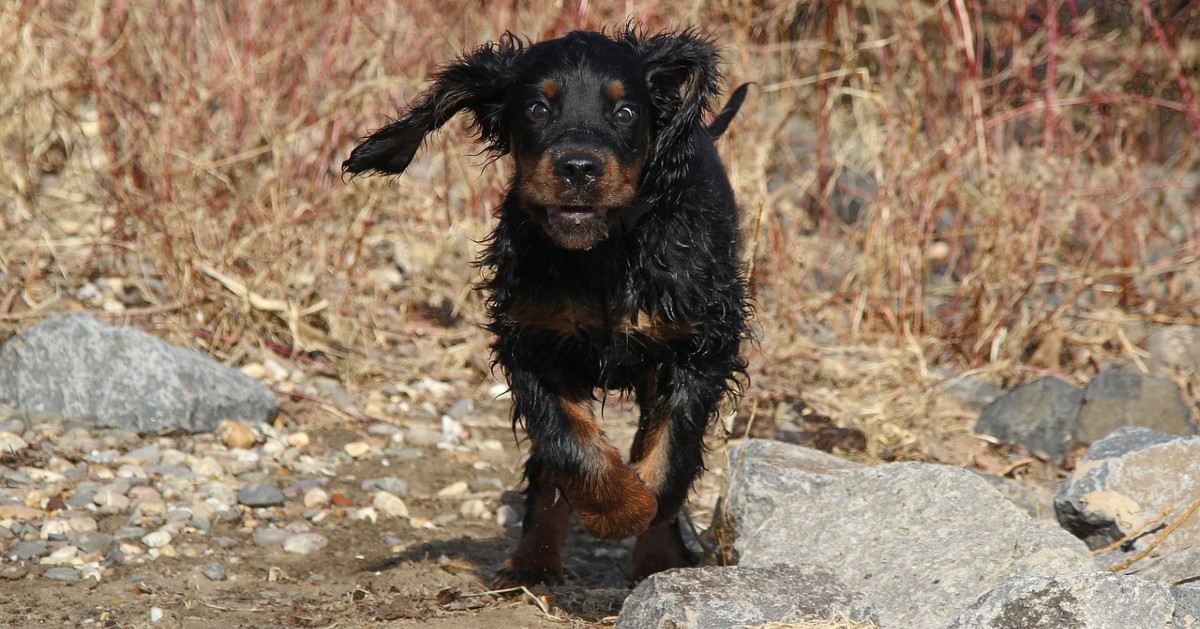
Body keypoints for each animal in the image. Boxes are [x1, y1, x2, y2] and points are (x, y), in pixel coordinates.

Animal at [340, 27, 748, 588]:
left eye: (625, 112)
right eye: (536, 108)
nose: (578, 169)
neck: (601, 253)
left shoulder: (700, 344)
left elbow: (671, 451)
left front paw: (648, 519)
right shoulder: (532, 341)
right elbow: (569, 446)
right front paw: (617, 508)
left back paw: (657, 557)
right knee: (547, 466)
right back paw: (532, 561)